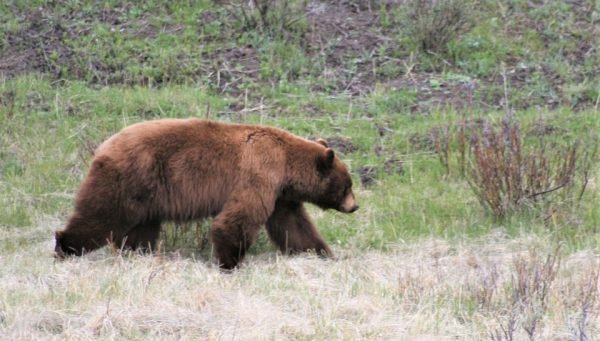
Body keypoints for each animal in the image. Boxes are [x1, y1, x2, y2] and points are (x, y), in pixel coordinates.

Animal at [55, 118, 356, 266]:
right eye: (348, 185)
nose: (355, 206)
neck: (286, 164)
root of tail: (103, 146)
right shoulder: (260, 173)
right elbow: (239, 217)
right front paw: (229, 262)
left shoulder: (282, 196)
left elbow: (293, 226)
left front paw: (321, 253)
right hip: (127, 179)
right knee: (100, 216)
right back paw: (65, 246)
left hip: (146, 196)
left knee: (141, 230)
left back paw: (138, 254)